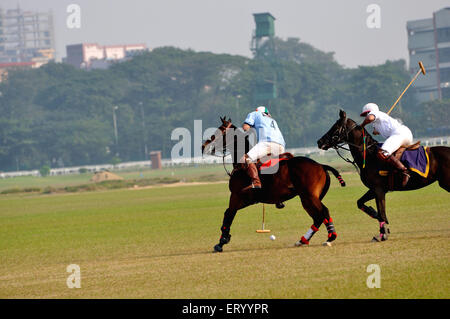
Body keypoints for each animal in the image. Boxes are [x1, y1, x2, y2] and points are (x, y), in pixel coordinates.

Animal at [202, 117, 346, 252]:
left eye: (218, 132)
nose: (204, 146)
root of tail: (321, 165)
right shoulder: (248, 199)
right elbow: (228, 214)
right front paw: (223, 240)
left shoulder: (237, 196)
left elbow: (228, 215)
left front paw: (221, 242)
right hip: (306, 198)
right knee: (318, 217)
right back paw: (302, 240)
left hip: (309, 196)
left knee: (324, 212)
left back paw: (330, 237)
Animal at [316, 111, 450, 241]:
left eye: (335, 127)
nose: (319, 142)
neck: (369, 156)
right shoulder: (374, 189)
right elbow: (361, 203)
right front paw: (374, 215)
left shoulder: (378, 190)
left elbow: (381, 213)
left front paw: (382, 234)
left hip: (446, 182)